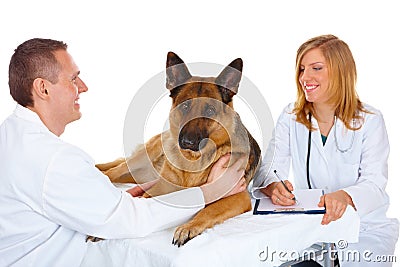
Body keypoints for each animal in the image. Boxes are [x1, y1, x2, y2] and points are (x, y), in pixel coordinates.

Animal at [95, 51, 260, 247]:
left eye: (210, 111)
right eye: (185, 106)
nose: (188, 142)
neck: (192, 161)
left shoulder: (239, 197)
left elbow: (209, 210)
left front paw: (188, 227)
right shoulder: (161, 187)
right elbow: (143, 202)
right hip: (141, 159)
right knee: (113, 171)